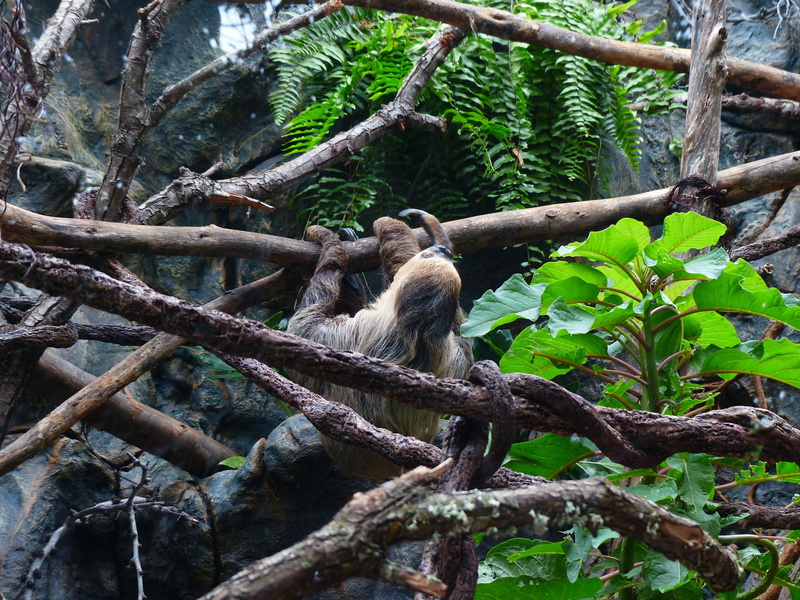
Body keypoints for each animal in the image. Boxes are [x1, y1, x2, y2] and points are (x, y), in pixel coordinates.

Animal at [287, 210, 473, 479]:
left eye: (425, 256)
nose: (442, 251)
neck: (416, 337)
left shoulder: (342, 337)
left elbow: (304, 326)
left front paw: (328, 239)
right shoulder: (454, 360)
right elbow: (465, 339)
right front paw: (436, 230)